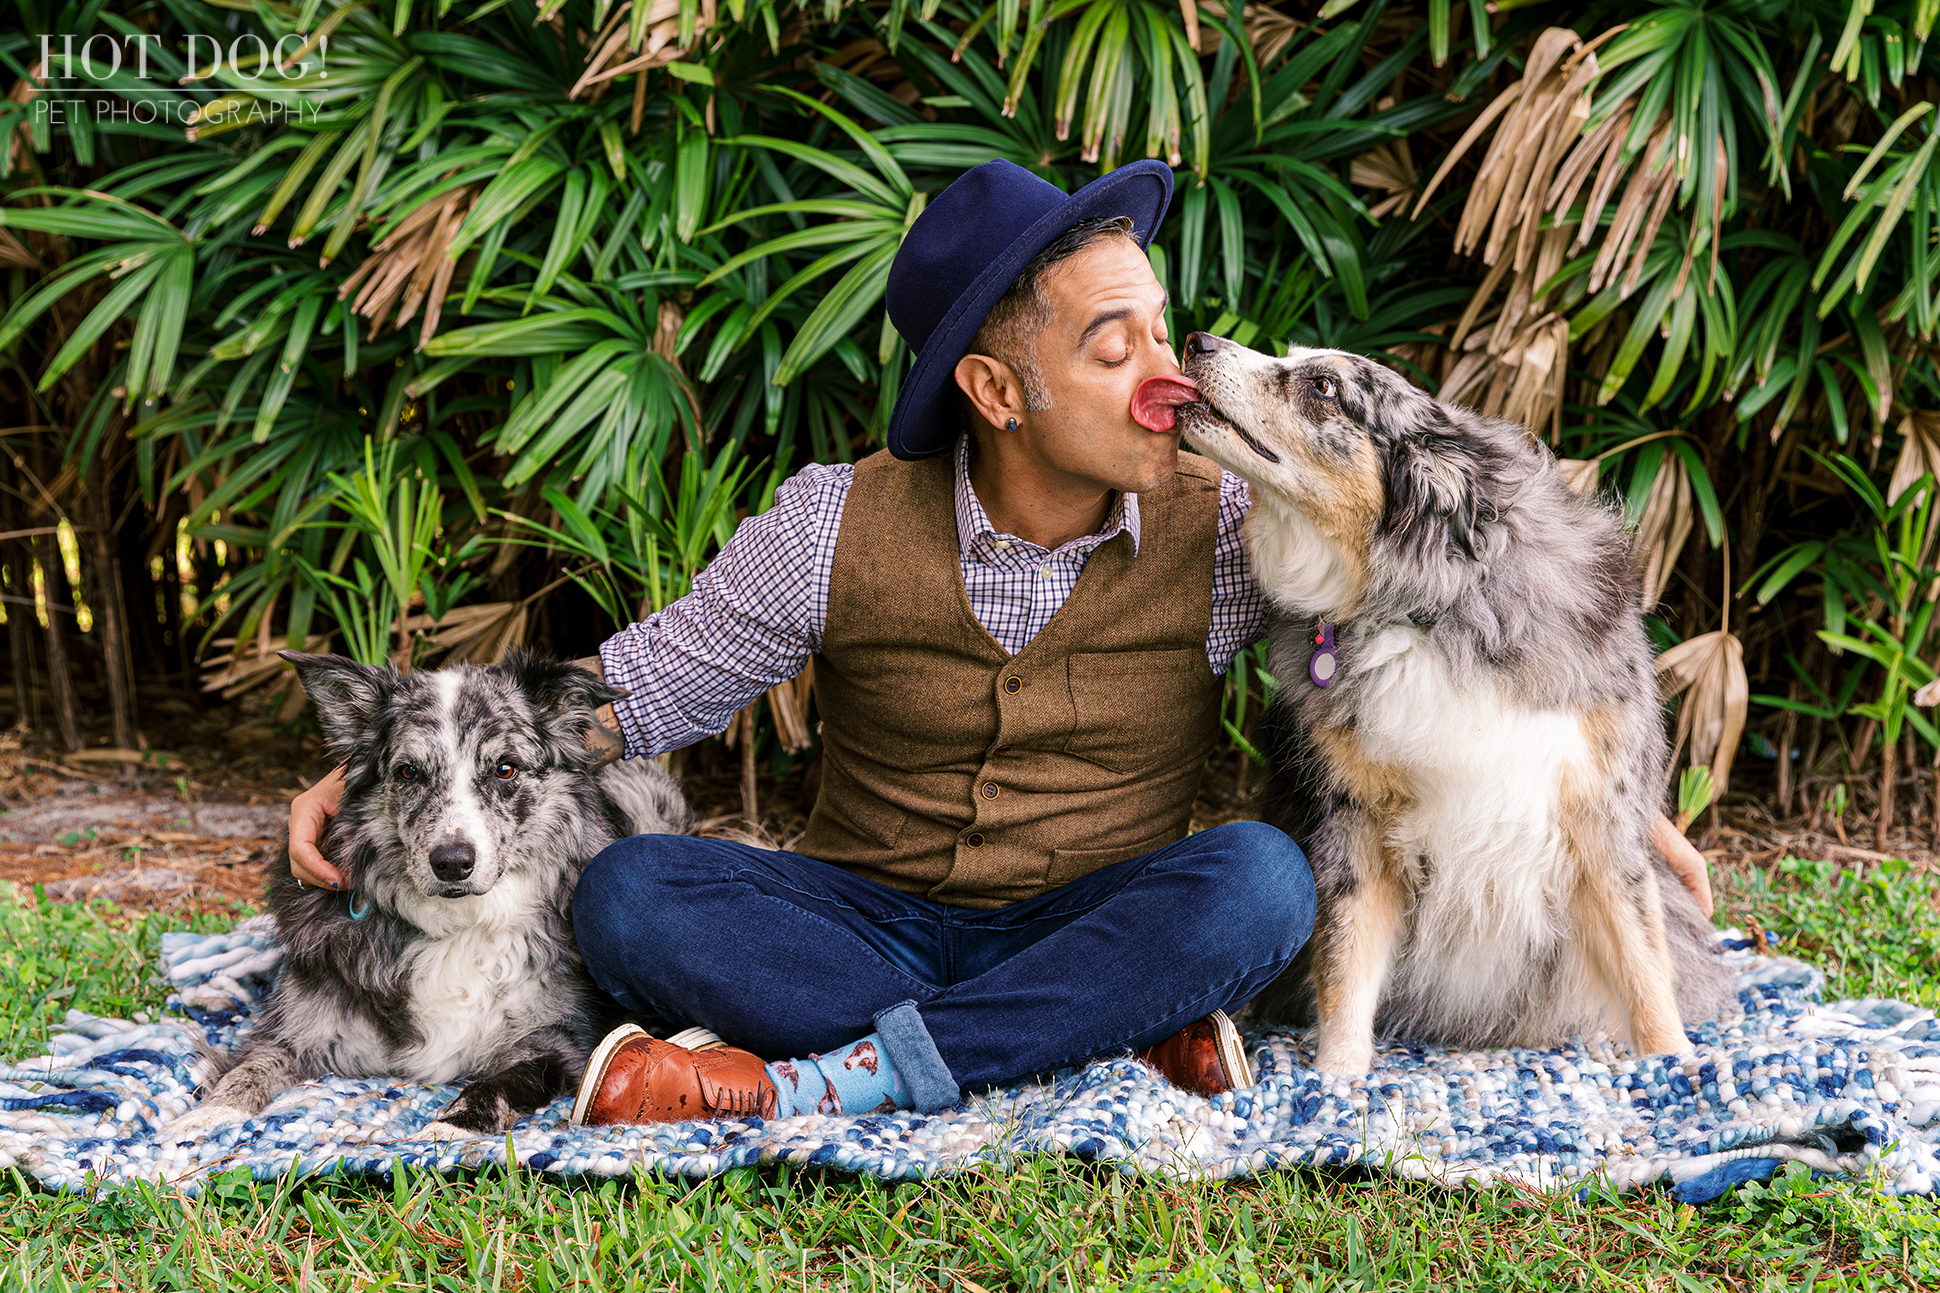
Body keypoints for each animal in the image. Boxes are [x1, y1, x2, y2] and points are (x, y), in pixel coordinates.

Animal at [166, 648, 694, 1133]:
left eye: (505, 769)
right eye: (408, 772)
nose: (453, 863)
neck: (461, 924)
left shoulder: (561, 1039)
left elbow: (505, 1081)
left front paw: (454, 1125)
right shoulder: (294, 1030)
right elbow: (249, 1069)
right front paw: (205, 1118)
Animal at [1171, 330, 1722, 1063]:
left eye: (1324, 386)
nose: (1196, 339)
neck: (1425, 607)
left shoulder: (1601, 811)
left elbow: (1642, 959)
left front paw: (1674, 1064)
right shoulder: (1353, 820)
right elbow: (1346, 960)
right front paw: (1337, 1078)